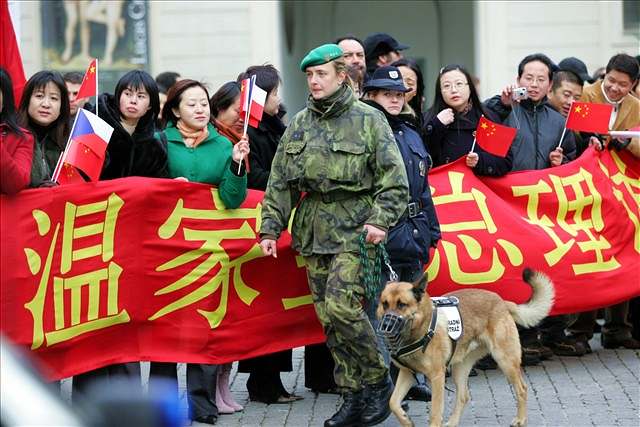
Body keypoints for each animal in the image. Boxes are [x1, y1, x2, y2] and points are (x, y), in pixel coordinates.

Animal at [378, 270, 552, 427]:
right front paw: (406, 420)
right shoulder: (407, 373)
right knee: (463, 396)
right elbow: (393, 402)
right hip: (459, 368)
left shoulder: (437, 377)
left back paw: (520, 420)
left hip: (505, 361)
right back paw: (453, 422)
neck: (420, 330)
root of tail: (502, 301)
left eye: (402, 305)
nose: (385, 326)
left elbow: (435, 413)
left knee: (522, 389)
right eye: (385, 304)